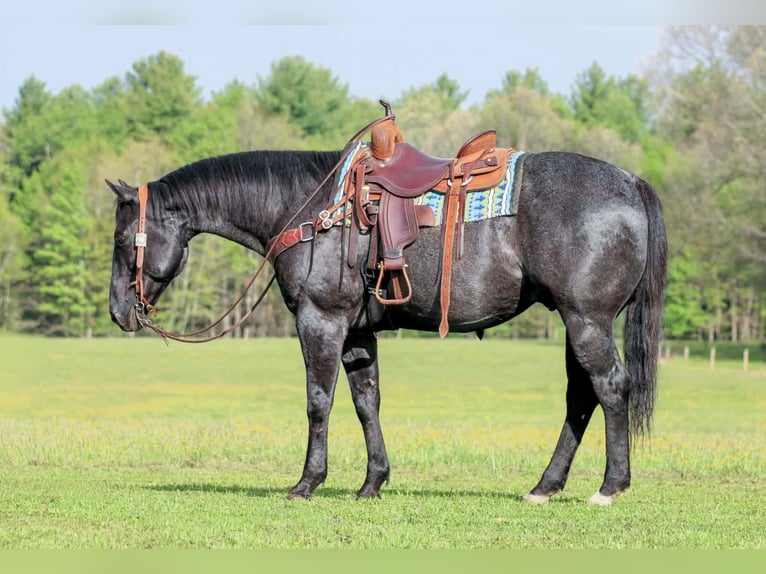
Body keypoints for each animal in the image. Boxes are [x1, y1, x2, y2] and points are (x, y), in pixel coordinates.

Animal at [107, 135, 667, 506]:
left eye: (120, 239)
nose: (118, 312)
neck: (310, 209)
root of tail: (630, 183)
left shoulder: (321, 321)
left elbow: (318, 402)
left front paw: (307, 482)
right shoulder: (357, 332)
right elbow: (365, 403)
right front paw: (373, 482)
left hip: (587, 320)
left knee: (610, 388)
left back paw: (610, 487)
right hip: (577, 322)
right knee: (581, 398)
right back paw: (544, 486)